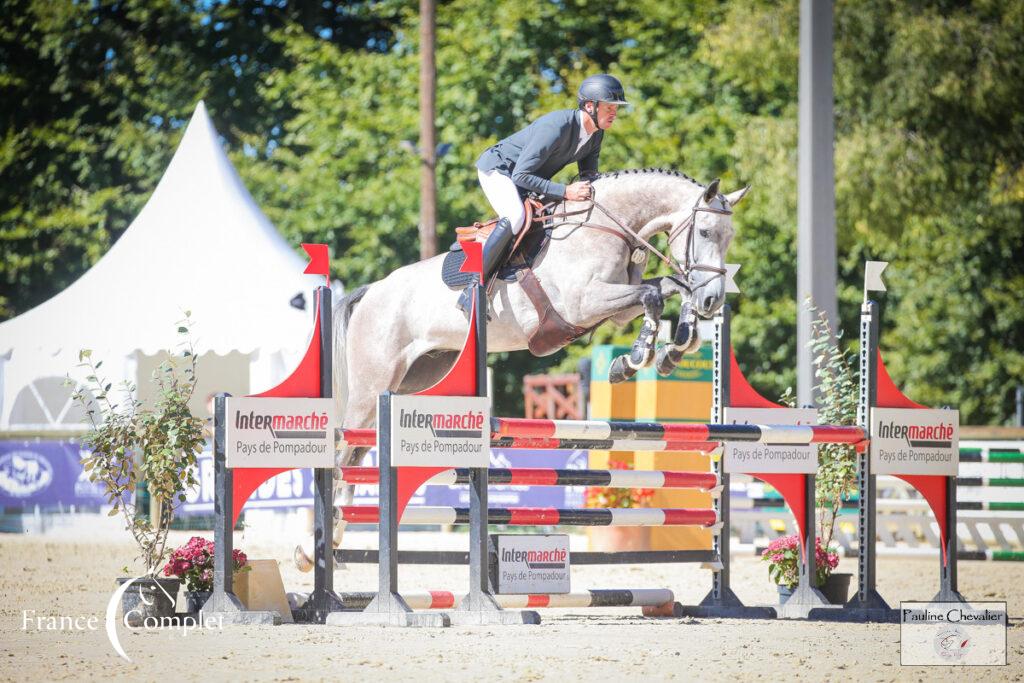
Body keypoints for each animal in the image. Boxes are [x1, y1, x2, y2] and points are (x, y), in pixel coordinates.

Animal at [292, 167, 749, 569]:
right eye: (705, 232)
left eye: (729, 238)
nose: (714, 301)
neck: (606, 227)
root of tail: (370, 292)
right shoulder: (586, 304)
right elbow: (656, 295)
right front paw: (636, 357)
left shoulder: (616, 308)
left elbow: (668, 288)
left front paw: (673, 345)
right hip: (371, 389)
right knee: (342, 453)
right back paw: (313, 550)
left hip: (412, 378)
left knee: (356, 455)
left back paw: (333, 538)